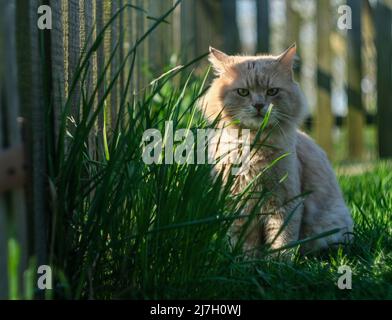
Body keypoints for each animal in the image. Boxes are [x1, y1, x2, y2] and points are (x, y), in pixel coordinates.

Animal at [201, 44, 354, 255]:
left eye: (272, 91)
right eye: (243, 92)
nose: (258, 105)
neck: (254, 145)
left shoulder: (284, 201)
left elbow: (282, 239)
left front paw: (278, 261)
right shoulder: (239, 203)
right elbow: (245, 242)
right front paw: (246, 259)